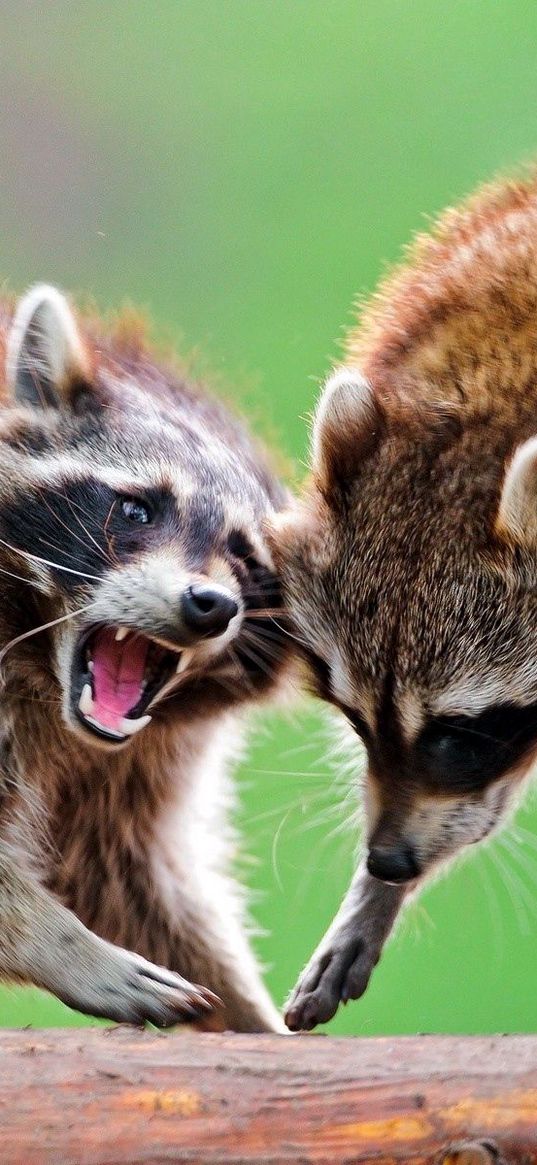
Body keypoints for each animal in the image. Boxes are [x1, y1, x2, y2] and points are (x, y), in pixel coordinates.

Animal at [0, 286, 291, 1034]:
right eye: (136, 510)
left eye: (245, 556)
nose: (210, 605)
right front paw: (62, 943)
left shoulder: (137, 761)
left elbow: (128, 881)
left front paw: (249, 1011)